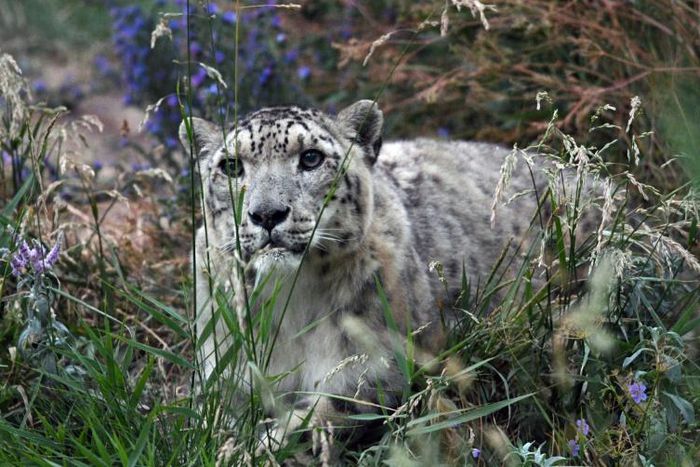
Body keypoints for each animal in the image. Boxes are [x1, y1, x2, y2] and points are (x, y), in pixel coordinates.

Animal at [178, 100, 568, 455]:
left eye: (311, 158)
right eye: (231, 165)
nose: (266, 214)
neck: (292, 306)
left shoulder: (381, 369)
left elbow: (323, 412)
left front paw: (260, 447)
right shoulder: (222, 373)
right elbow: (211, 417)